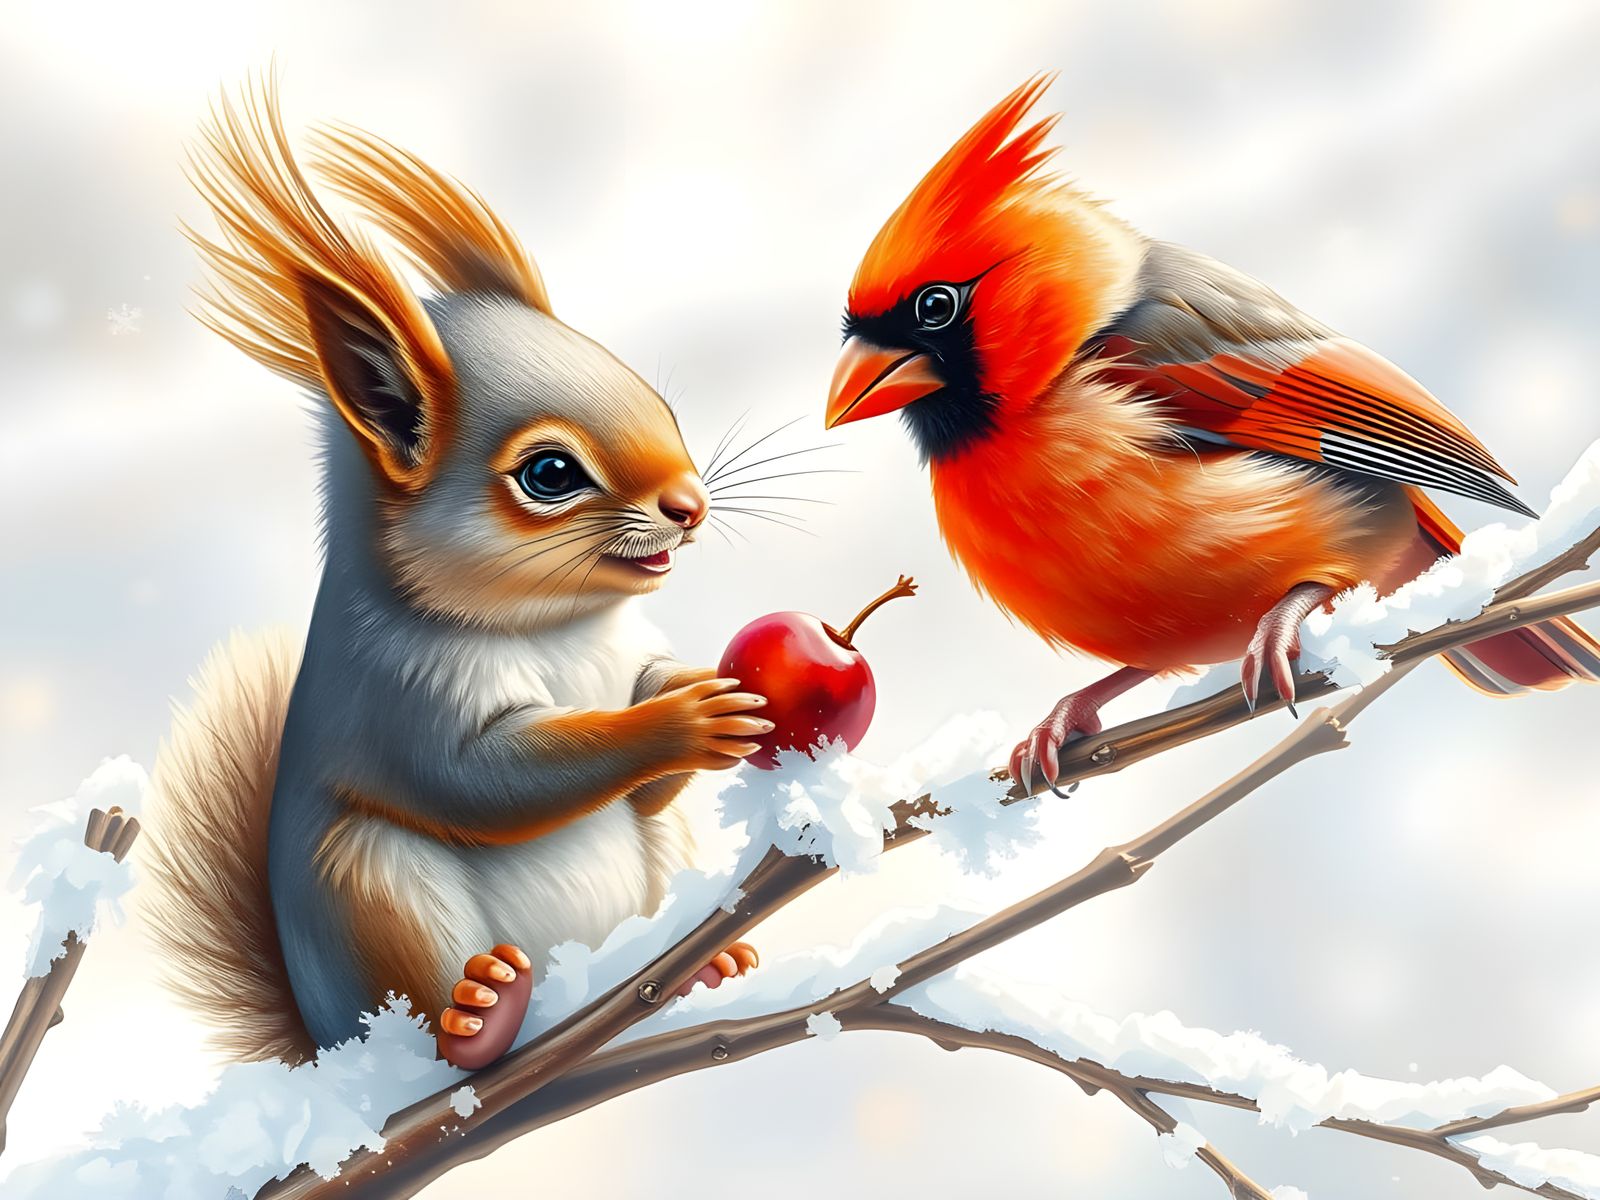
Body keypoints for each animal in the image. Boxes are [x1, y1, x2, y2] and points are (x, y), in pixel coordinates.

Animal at [144, 80, 770, 1069]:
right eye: (549, 474)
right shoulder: (400, 695)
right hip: (374, 891)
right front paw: (685, 721)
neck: (559, 623)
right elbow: (484, 781)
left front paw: (706, 689)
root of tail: (328, 1048)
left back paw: (697, 961)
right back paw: (480, 1017)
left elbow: (646, 730)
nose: (691, 505)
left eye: (663, 403)